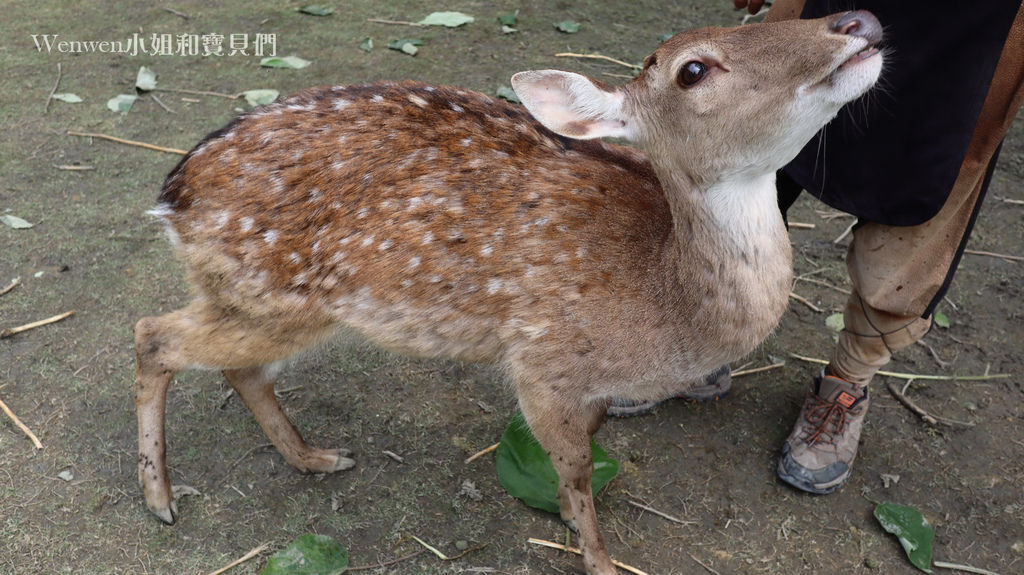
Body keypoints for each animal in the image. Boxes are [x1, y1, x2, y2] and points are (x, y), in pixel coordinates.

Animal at [136, 10, 884, 572]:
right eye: (693, 69)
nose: (860, 21)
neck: (662, 305)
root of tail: (173, 195)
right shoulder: (542, 364)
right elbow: (575, 472)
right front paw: (601, 560)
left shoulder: (588, 385)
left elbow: (591, 447)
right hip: (270, 294)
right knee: (155, 334)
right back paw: (161, 498)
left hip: (258, 300)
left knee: (237, 366)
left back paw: (316, 458)